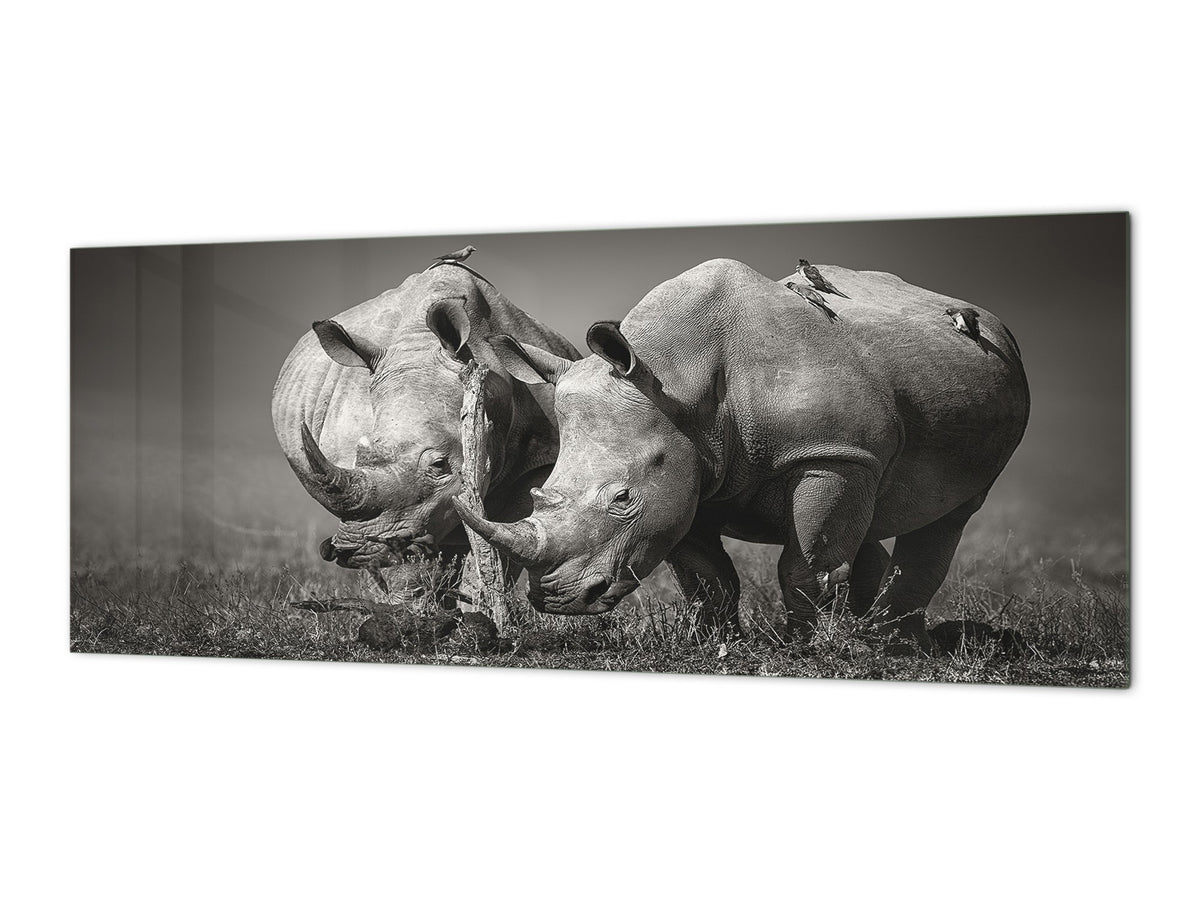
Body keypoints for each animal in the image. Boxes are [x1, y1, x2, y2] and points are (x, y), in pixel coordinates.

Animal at [271, 263, 580, 588]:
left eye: (440, 465)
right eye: (359, 455)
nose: (355, 550)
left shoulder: (543, 454)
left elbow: (508, 533)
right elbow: (408, 559)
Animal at [454, 259, 1030, 649]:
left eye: (622, 499)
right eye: (540, 493)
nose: (554, 599)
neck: (675, 378)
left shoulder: (828, 454)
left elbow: (806, 564)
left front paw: (806, 651)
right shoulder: (689, 466)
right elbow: (707, 575)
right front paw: (713, 644)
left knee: (951, 515)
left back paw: (898, 648)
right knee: (867, 518)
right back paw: (877, 634)